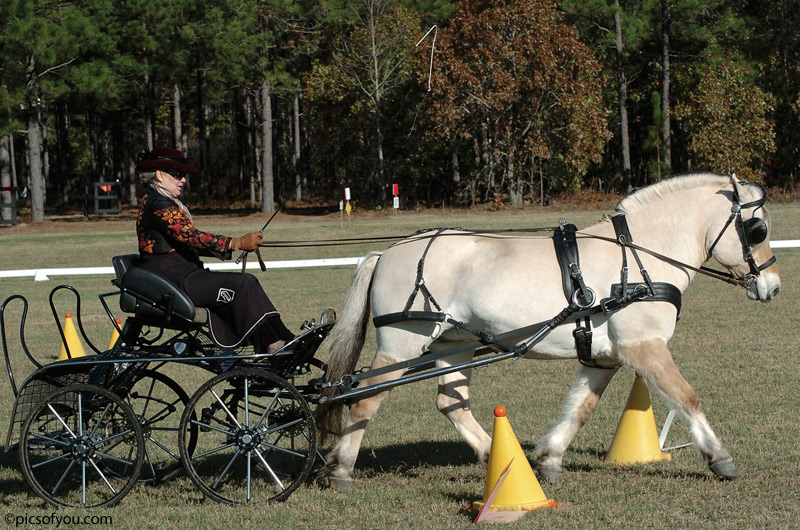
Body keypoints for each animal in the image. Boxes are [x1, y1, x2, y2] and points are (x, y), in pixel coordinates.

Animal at [318, 173, 780, 486]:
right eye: (757, 229)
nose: (773, 287)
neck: (638, 259)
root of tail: (386, 253)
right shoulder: (644, 346)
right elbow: (686, 397)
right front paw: (720, 459)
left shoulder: (604, 356)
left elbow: (581, 408)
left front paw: (548, 460)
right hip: (401, 345)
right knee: (364, 398)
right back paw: (342, 469)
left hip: (455, 344)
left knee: (452, 404)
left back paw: (497, 456)